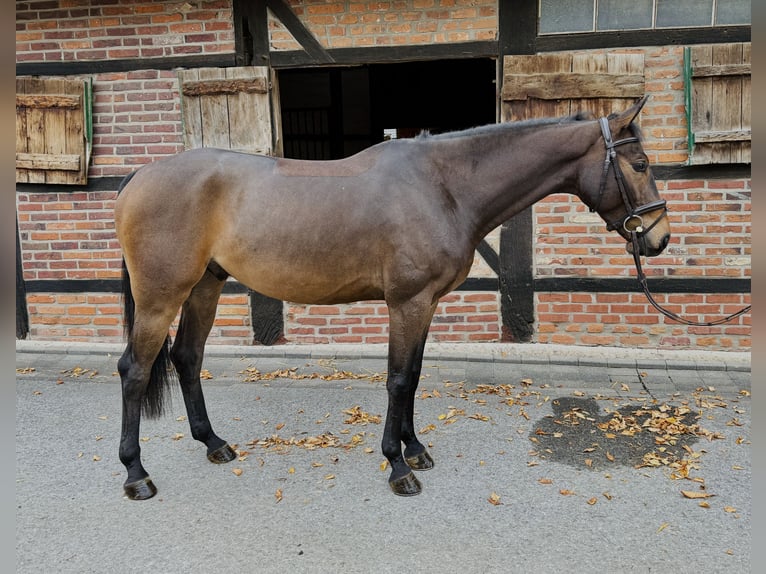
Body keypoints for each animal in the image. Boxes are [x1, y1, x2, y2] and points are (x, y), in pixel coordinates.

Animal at [114, 96, 670, 499]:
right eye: (640, 163)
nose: (659, 239)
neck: (442, 187)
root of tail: (140, 176)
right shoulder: (408, 302)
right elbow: (399, 379)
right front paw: (398, 466)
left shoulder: (427, 304)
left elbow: (415, 375)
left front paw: (415, 448)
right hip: (161, 298)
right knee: (135, 371)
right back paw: (136, 474)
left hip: (204, 287)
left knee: (187, 358)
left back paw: (214, 443)